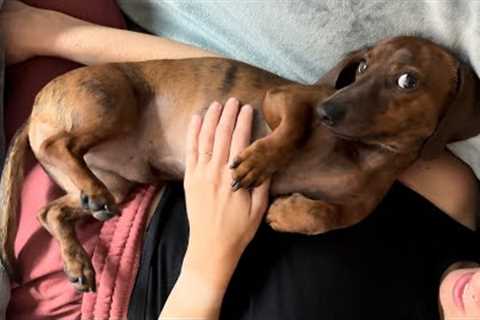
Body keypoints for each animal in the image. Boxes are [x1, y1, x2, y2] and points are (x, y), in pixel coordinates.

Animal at [0, 36, 480, 292]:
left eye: (407, 80)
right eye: (361, 67)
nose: (328, 110)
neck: (359, 153)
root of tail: (35, 109)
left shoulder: (358, 200)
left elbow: (331, 215)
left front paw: (289, 214)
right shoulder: (285, 100)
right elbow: (291, 128)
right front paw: (259, 163)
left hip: (119, 182)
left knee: (51, 211)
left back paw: (77, 258)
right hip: (113, 103)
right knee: (60, 144)